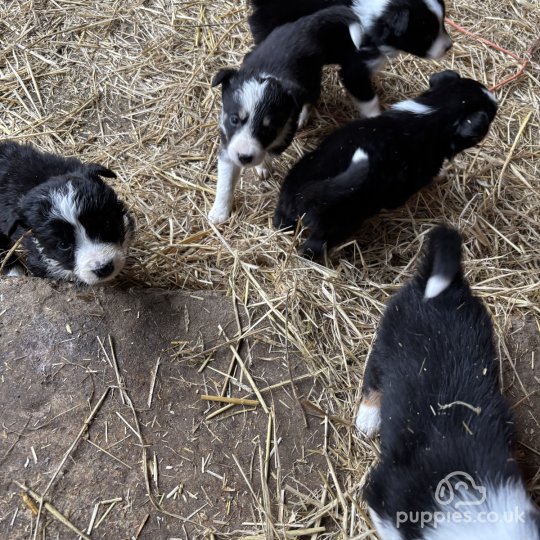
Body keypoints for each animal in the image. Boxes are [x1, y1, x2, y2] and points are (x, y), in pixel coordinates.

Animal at [208, 5, 362, 224]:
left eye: (269, 128)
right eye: (234, 119)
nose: (245, 157)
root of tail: (306, 22)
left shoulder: (283, 135)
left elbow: (268, 153)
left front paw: (262, 166)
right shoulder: (228, 144)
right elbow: (225, 180)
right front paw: (219, 213)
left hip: (311, 81)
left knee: (313, 96)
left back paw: (304, 116)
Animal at [274, 70, 498, 260]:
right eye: (490, 114)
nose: (496, 101)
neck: (434, 112)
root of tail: (306, 192)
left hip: (287, 199)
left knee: (281, 223)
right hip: (336, 226)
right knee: (312, 248)